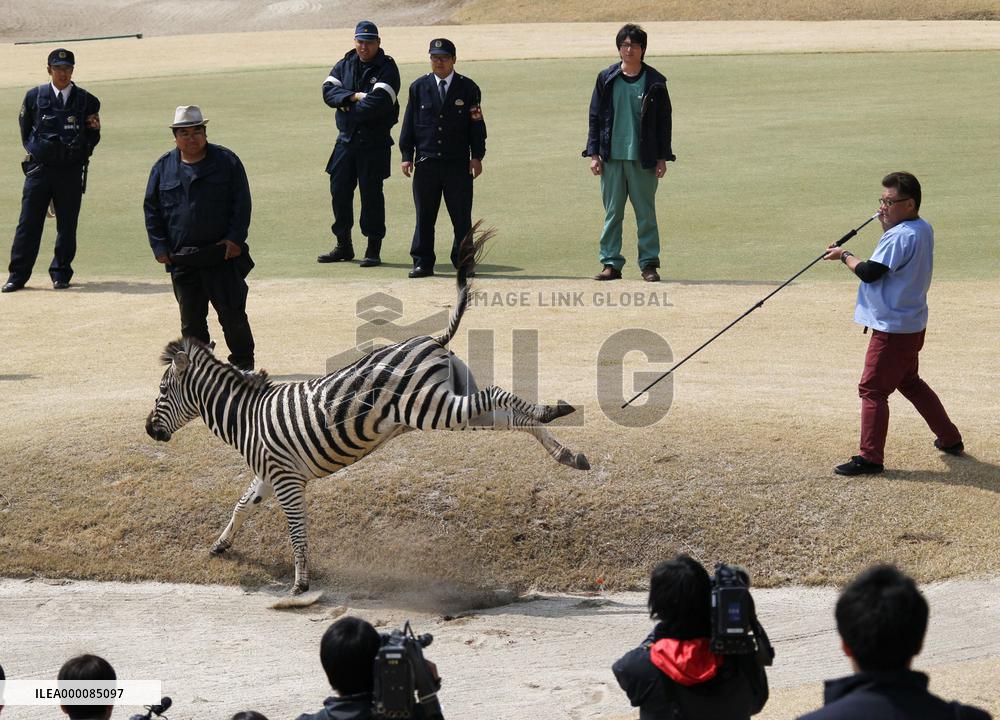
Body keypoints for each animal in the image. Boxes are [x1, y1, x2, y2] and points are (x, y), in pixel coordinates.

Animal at [145, 227, 589, 594]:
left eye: (162, 390)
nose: (149, 430)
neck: (247, 416)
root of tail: (431, 340)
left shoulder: (287, 480)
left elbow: (297, 530)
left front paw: (300, 583)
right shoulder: (270, 474)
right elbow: (241, 504)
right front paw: (221, 544)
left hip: (432, 408)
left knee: (499, 395)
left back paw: (556, 414)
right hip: (455, 405)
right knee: (512, 415)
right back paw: (564, 447)